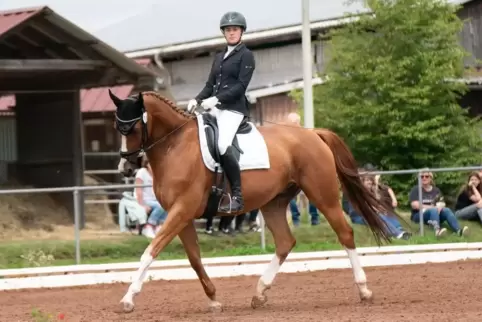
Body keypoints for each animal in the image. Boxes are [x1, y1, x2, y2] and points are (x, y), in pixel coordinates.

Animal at [109, 90, 396, 314]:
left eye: (131, 128)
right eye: (117, 128)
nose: (126, 167)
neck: (175, 145)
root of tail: (313, 133)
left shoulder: (182, 210)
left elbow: (151, 251)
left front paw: (127, 299)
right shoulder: (182, 214)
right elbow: (194, 258)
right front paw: (214, 299)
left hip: (322, 194)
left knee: (345, 233)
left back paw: (364, 290)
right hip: (274, 202)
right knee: (285, 241)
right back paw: (259, 292)